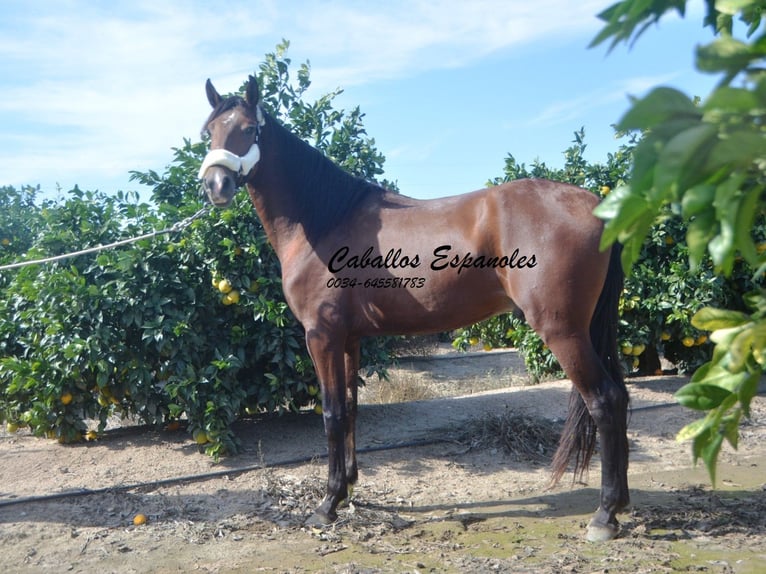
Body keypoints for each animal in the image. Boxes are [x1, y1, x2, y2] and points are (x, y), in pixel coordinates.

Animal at [198, 74, 632, 544]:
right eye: (209, 131)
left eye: (248, 129)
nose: (216, 186)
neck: (325, 219)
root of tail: (595, 206)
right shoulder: (349, 339)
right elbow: (350, 409)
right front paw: (349, 489)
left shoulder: (321, 336)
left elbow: (331, 414)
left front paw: (327, 504)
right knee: (621, 396)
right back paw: (621, 503)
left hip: (563, 331)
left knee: (605, 400)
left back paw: (604, 516)